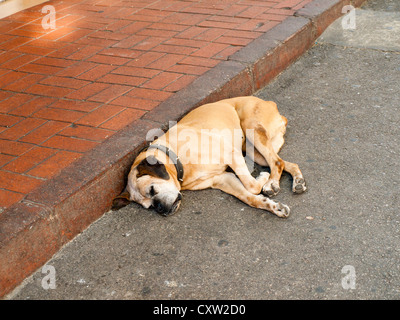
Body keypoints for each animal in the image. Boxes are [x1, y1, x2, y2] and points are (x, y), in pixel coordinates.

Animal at [112, 97, 306, 218]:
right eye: (149, 206)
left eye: (152, 190)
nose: (160, 209)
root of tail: (270, 104)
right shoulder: (222, 179)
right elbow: (249, 197)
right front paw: (273, 206)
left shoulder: (231, 154)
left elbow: (252, 186)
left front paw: (262, 178)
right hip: (256, 151)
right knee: (285, 163)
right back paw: (297, 181)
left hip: (251, 128)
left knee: (276, 162)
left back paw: (271, 181)